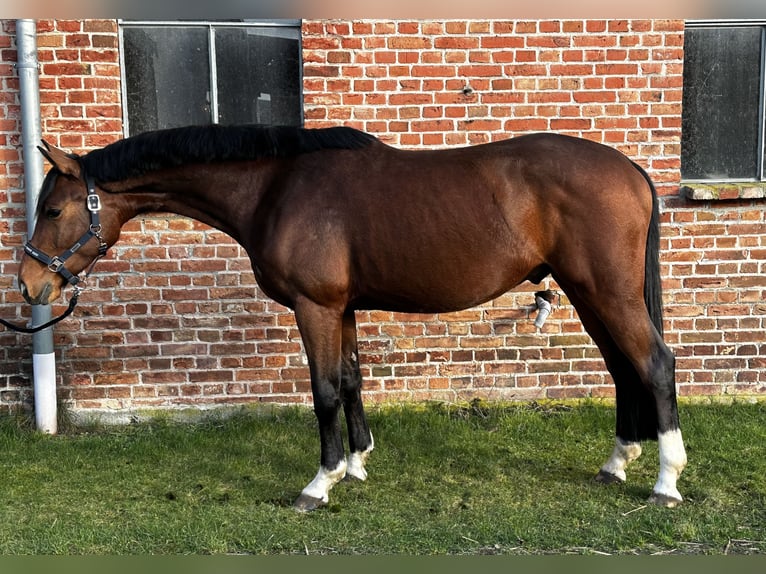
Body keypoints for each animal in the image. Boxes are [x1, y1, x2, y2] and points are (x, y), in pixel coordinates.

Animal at [18, 125, 688, 512]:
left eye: (52, 209)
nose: (30, 285)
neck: (276, 187)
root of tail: (631, 170)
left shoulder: (315, 306)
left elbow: (322, 392)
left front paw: (319, 484)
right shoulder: (341, 308)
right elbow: (351, 381)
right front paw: (358, 465)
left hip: (606, 291)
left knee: (655, 363)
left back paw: (665, 481)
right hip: (588, 292)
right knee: (623, 368)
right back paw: (615, 465)